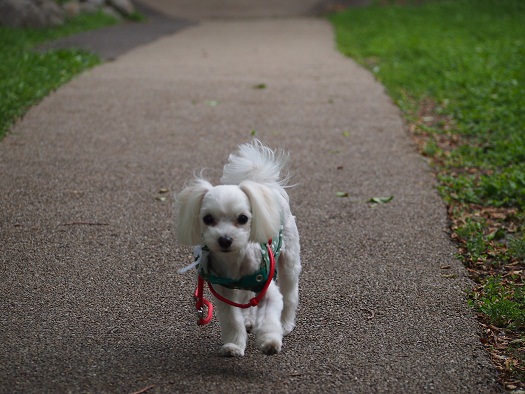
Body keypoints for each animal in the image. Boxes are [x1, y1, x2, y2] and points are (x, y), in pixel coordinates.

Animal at [175, 141, 298, 358]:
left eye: (243, 218)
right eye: (208, 219)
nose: (225, 239)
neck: (234, 261)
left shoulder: (267, 286)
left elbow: (270, 313)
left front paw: (270, 342)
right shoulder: (223, 291)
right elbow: (232, 318)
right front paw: (234, 345)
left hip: (288, 259)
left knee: (289, 293)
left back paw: (285, 324)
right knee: (247, 298)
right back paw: (249, 319)